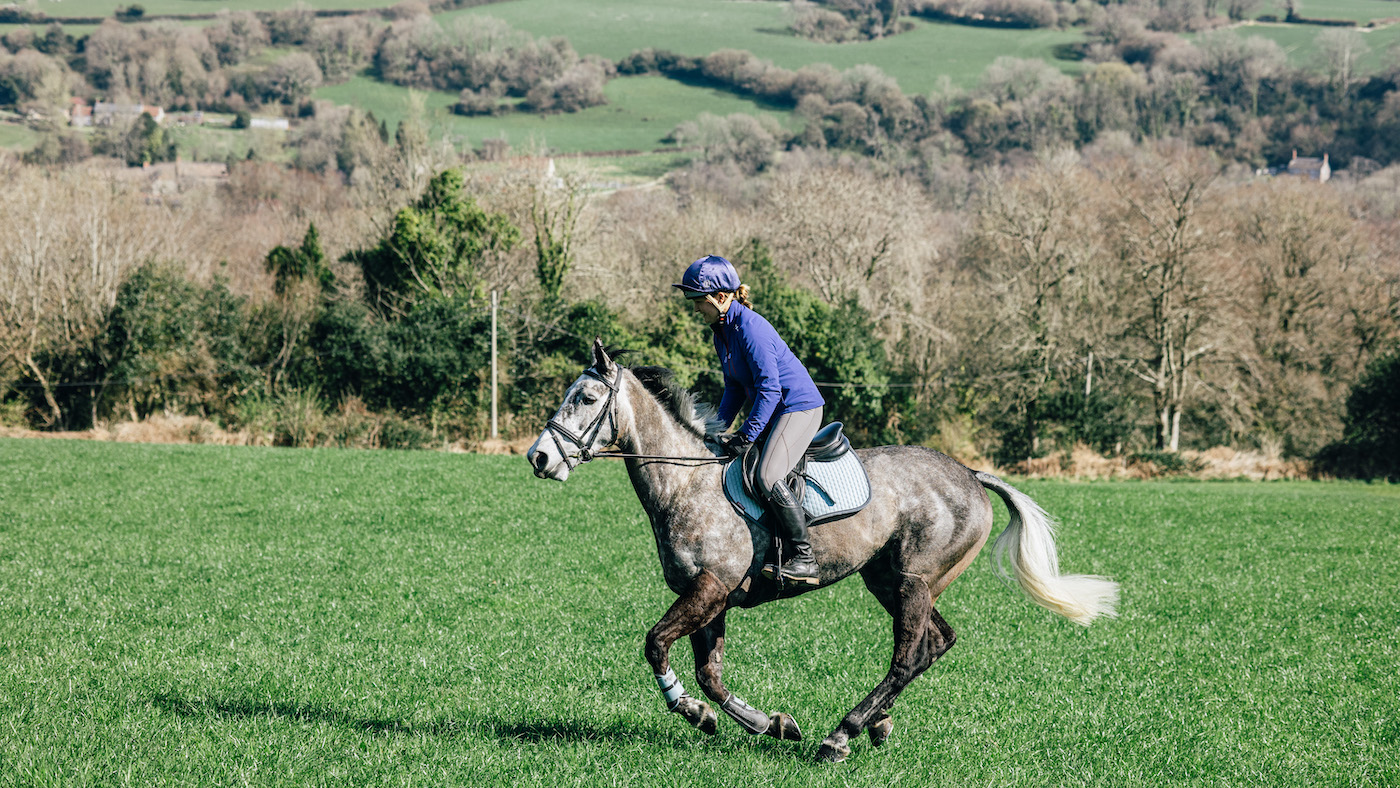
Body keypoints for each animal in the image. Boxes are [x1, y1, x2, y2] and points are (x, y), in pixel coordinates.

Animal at [526, 340, 1118, 763]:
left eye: (585, 399)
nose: (538, 458)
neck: (686, 483)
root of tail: (971, 474)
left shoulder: (709, 589)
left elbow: (656, 646)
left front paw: (694, 713)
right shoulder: (710, 598)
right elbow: (711, 675)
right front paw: (764, 723)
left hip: (913, 581)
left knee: (908, 655)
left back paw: (843, 734)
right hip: (889, 579)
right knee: (936, 642)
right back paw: (877, 723)